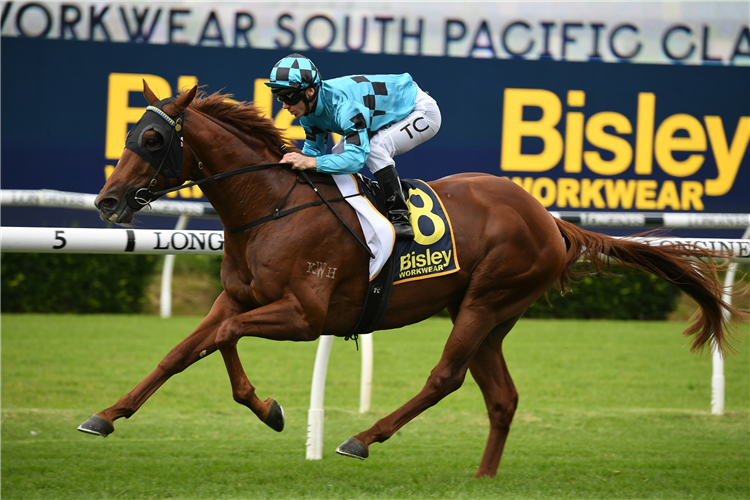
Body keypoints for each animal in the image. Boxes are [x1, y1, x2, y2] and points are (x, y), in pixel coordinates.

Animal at [79, 81, 744, 476]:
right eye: (131, 133)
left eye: (153, 138)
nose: (107, 203)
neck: (270, 207)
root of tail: (548, 218)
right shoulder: (237, 298)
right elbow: (186, 350)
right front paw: (107, 416)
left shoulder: (305, 316)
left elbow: (222, 339)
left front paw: (268, 408)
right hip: (488, 314)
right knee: (501, 396)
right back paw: (482, 479)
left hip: (486, 300)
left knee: (445, 377)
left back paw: (362, 438)